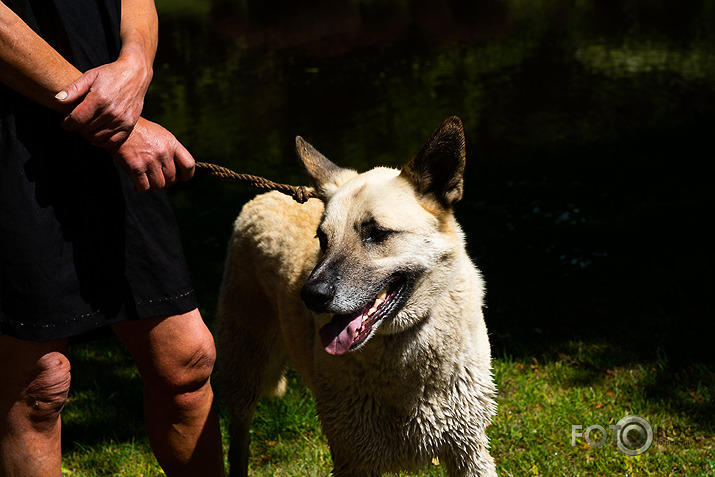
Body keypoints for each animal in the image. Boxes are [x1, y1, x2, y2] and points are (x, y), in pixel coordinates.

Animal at [217, 116, 498, 476]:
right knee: (239, 437)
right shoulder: (353, 457)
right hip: (243, 370)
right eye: (323, 239)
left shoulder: (469, 451)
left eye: (376, 233)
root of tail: (266, 195)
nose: (311, 296)